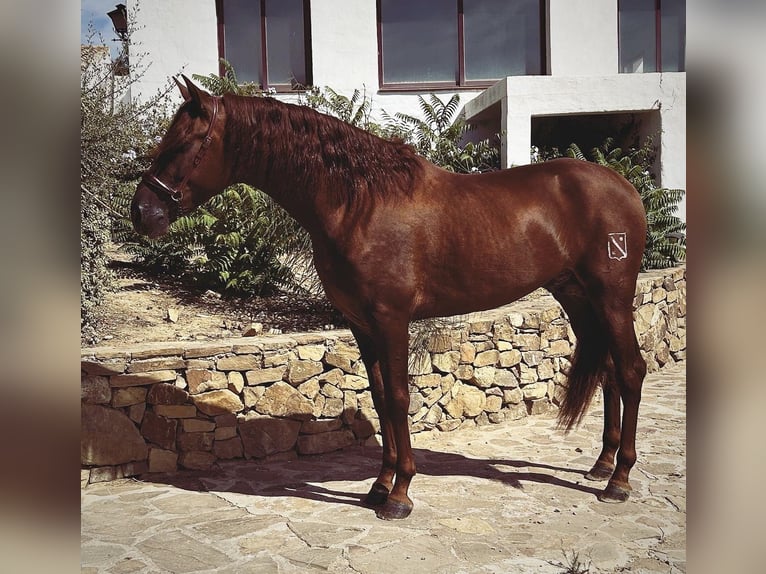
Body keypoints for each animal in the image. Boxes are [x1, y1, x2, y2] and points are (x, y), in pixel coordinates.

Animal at [134, 76, 648, 520]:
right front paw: (379, 486)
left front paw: (400, 494)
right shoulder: (361, 323)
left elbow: (400, 397)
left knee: (630, 370)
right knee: (608, 371)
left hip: (612, 297)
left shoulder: (391, 319)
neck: (359, 203)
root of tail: (625, 187)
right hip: (577, 296)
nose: (142, 213)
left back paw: (618, 480)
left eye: (181, 144)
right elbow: (380, 398)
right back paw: (601, 464)